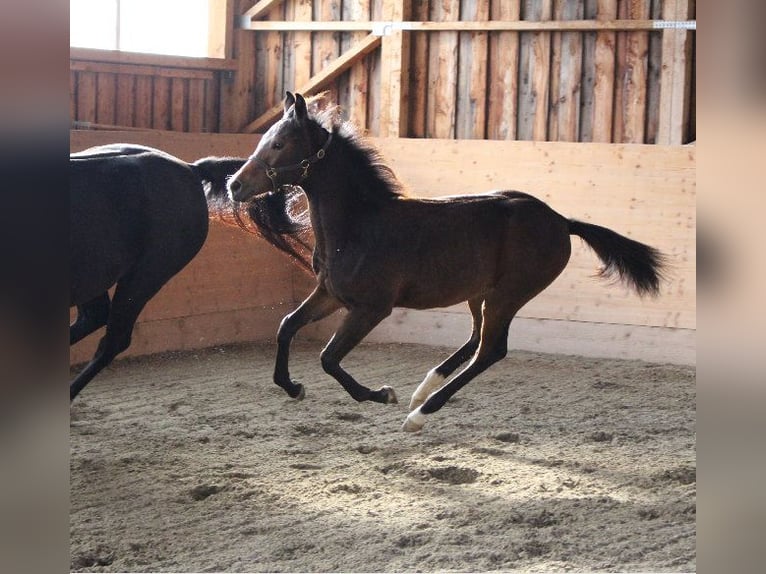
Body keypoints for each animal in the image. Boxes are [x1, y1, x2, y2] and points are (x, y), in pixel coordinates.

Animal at [226, 94, 664, 434]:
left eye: (280, 143)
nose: (234, 185)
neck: (360, 224)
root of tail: (561, 220)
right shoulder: (331, 294)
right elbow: (287, 326)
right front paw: (293, 387)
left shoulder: (371, 308)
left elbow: (329, 358)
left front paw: (381, 394)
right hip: (480, 293)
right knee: (474, 340)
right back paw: (424, 390)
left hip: (509, 294)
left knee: (490, 350)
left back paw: (420, 413)